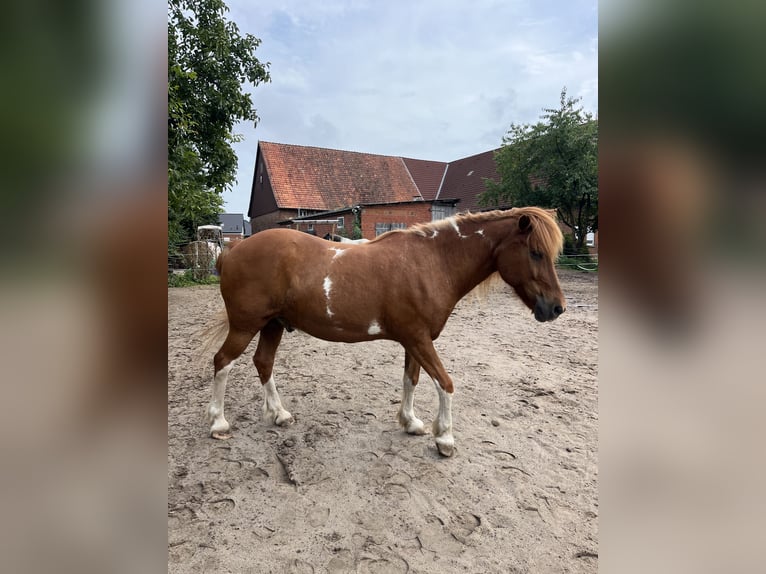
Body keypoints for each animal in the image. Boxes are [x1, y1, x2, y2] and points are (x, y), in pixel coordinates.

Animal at [201, 206, 565, 456]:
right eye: (535, 252)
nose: (556, 308)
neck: (431, 263)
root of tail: (232, 251)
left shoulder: (414, 340)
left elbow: (411, 380)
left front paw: (411, 423)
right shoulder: (419, 338)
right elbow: (445, 384)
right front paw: (445, 438)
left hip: (272, 325)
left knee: (263, 363)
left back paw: (280, 415)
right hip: (246, 326)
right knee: (222, 362)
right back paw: (218, 423)